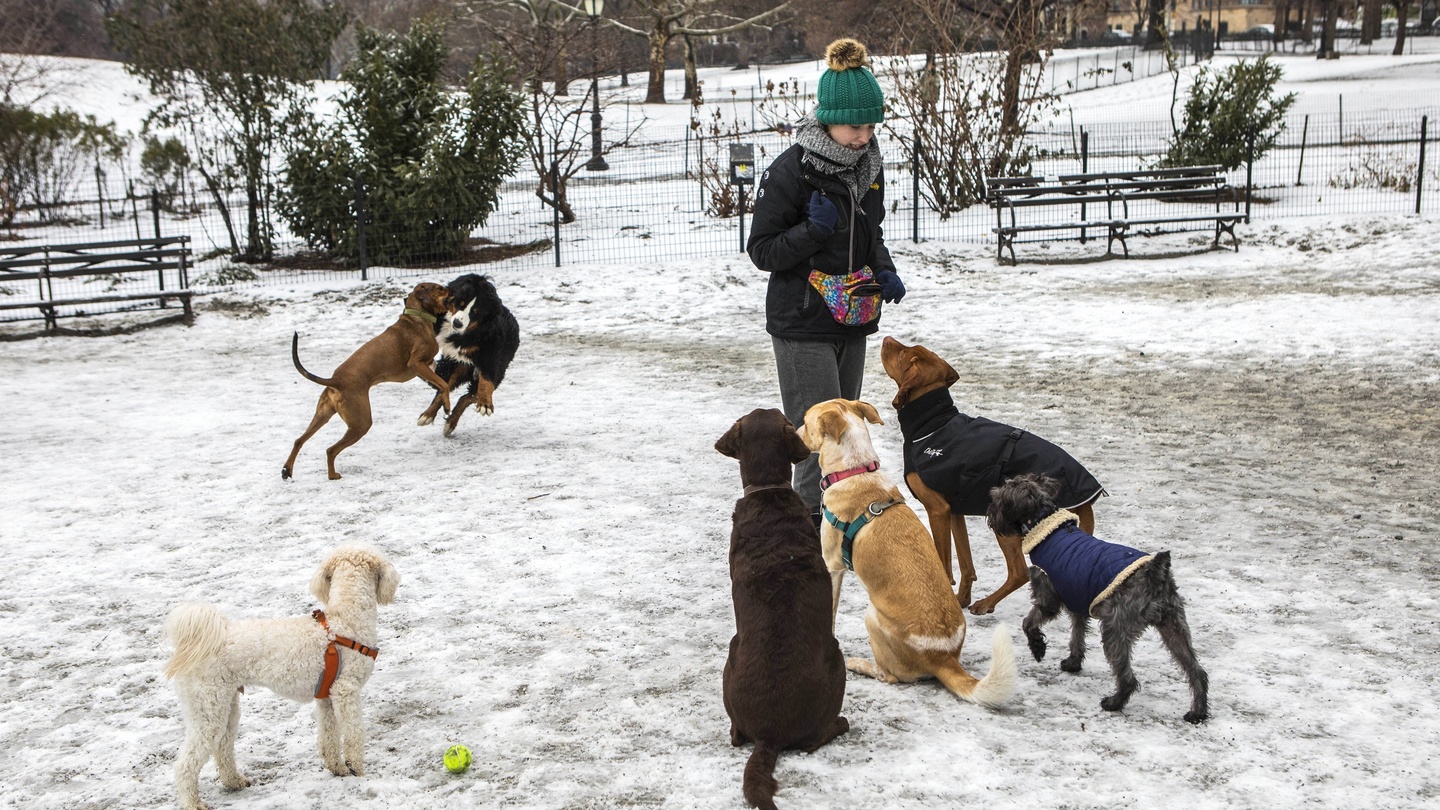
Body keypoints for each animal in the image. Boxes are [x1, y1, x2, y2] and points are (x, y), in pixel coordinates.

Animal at [420, 272, 521, 435]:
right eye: (460, 303)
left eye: (475, 312)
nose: (457, 323)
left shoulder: (491, 355)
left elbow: (486, 381)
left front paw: (485, 403)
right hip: (454, 365)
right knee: (444, 389)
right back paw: (428, 415)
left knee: (467, 397)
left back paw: (451, 423)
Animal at [717, 409, 846, 807]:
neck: (768, 491)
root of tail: (769, 737)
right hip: (837, 657)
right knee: (817, 738)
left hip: (730, 655)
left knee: (735, 734)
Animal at [990, 469, 1203, 720]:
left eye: (998, 499)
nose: (990, 516)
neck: (1045, 524)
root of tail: (1155, 573)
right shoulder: (1078, 602)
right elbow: (1077, 634)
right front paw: (1073, 663)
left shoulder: (1048, 598)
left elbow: (1028, 623)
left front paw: (1037, 648)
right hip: (1173, 627)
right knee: (1197, 671)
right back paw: (1198, 712)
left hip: (1116, 629)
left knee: (1128, 678)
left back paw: (1114, 702)